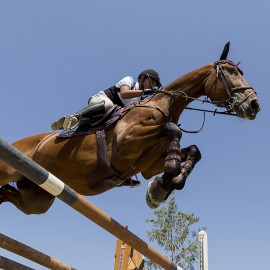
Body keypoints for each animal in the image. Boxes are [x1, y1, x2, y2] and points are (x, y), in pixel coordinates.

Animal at [0, 43, 260, 214]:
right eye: (230, 72)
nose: (254, 104)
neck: (163, 105)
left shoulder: (149, 164)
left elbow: (193, 151)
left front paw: (164, 186)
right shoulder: (126, 143)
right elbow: (172, 129)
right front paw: (163, 182)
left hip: (37, 197)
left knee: (9, 196)